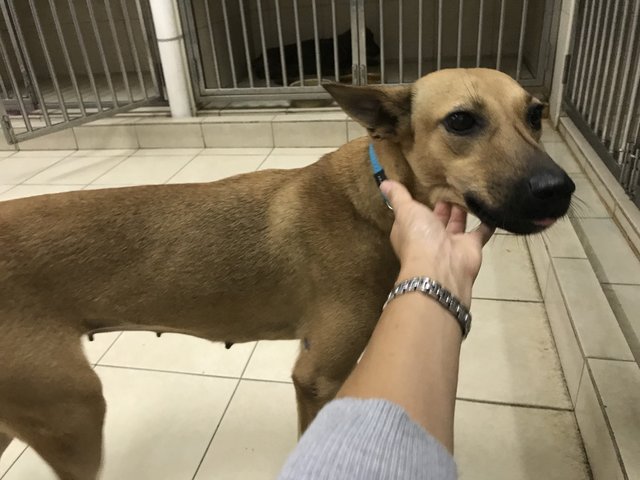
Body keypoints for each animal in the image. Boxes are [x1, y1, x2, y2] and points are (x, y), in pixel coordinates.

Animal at [0, 68, 572, 480]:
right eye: (460, 122)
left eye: (536, 113)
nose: (558, 190)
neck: (376, 191)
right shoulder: (318, 378)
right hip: (72, 412)